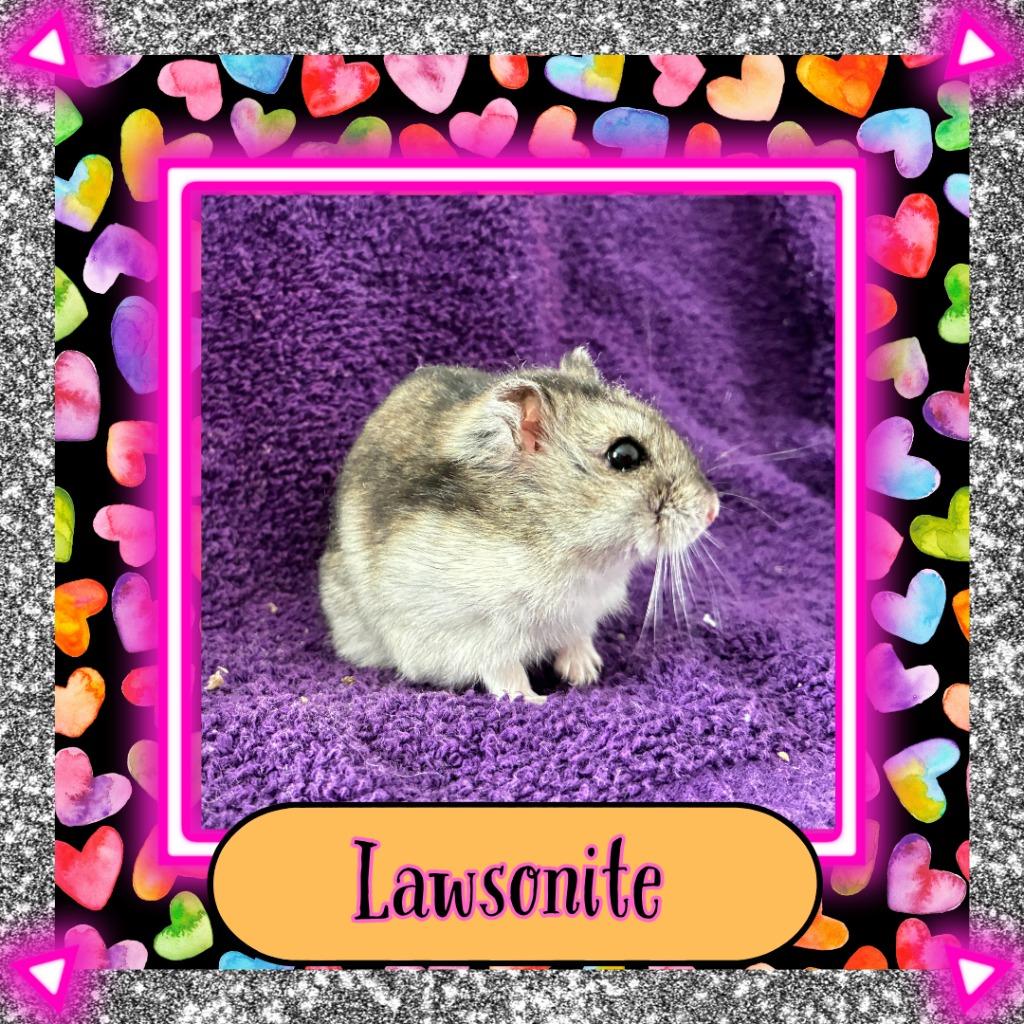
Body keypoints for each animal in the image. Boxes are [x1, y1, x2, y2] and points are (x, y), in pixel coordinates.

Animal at [318, 347, 719, 704]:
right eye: (625, 455)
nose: (712, 510)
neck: (573, 552)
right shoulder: (472, 633)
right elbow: (503, 669)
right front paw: (533, 699)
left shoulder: (580, 614)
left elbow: (576, 639)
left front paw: (586, 673)